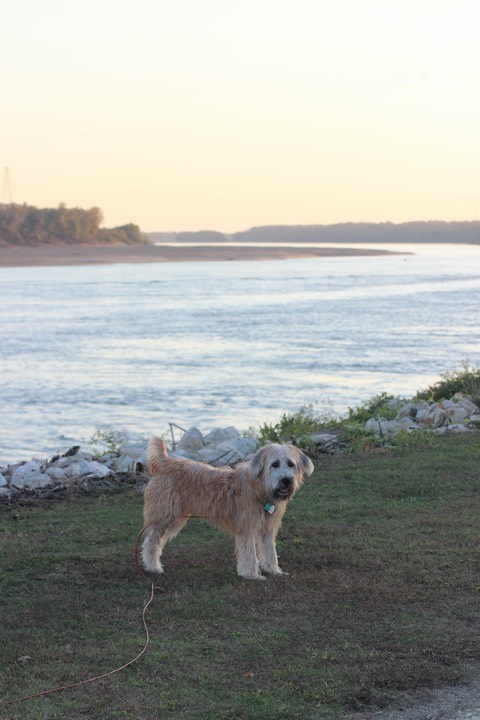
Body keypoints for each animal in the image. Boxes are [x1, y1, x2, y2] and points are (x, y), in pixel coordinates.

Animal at [140, 436, 316, 584]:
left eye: (291, 464)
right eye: (275, 464)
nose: (286, 480)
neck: (259, 488)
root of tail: (166, 461)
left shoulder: (267, 528)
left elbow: (270, 551)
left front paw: (274, 570)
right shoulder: (247, 528)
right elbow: (250, 554)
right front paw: (252, 575)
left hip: (175, 519)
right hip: (165, 517)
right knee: (151, 543)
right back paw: (153, 567)